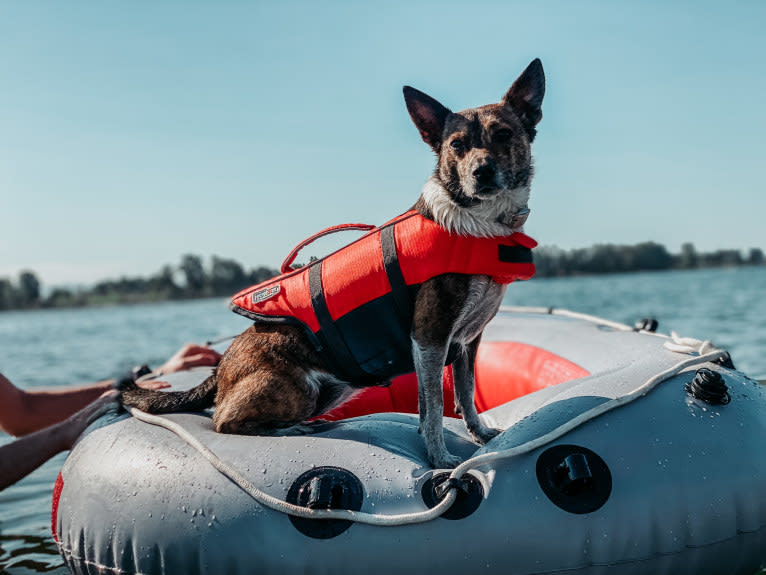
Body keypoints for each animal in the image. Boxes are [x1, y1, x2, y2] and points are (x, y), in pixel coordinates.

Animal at [123, 58, 544, 470]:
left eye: (503, 134)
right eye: (456, 145)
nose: (481, 172)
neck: (481, 224)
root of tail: (221, 367)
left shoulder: (468, 341)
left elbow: (465, 392)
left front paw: (480, 434)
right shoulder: (429, 336)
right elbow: (434, 407)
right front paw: (440, 458)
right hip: (298, 386)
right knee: (224, 420)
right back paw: (286, 429)